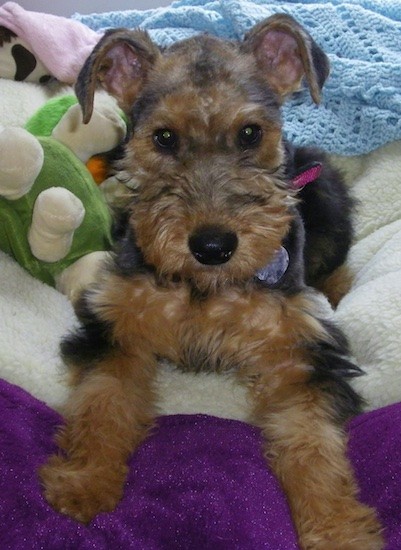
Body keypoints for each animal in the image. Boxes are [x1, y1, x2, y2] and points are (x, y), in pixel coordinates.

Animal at [39, 15, 382, 548]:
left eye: (249, 133)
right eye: (163, 138)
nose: (213, 246)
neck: (203, 286)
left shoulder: (300, 354)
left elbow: (315, 447)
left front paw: (338, 530)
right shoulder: (116, 325)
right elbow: (102, 402)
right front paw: (85, 480)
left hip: (323, 188)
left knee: (337, 260)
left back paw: (337, 287)